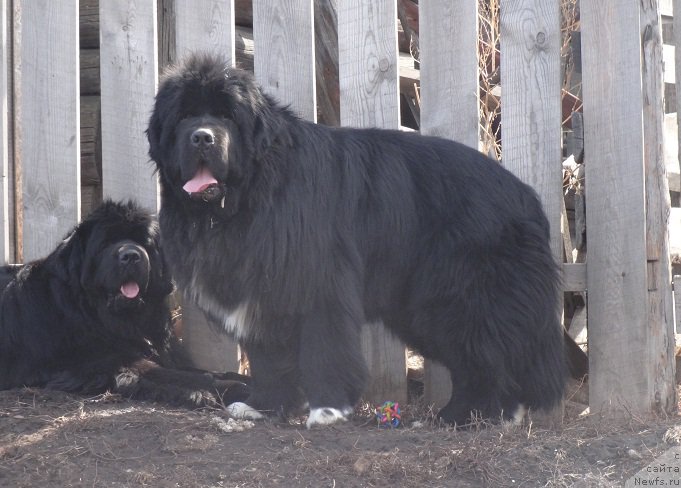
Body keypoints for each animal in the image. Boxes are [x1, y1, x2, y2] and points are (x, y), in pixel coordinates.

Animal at [0, 199, 250, 408]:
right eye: (105, 243)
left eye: (143, 242)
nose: (131, 256)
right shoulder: (111, 360)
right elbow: (180, 375)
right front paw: (226, 389)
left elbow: (202, 370)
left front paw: (240, 378)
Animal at [149, 53, 568, 428]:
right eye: (184, 118)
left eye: (226, 118)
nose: (202, 138)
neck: (252, 195)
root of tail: (526, 196)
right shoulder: (263, 295)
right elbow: (269, 359)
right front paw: (263, 407)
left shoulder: (318, 286)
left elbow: (325, 349)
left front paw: (327, 410)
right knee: (478, 360)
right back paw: (464, 415)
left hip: (458, 300)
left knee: (489, 356)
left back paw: (473, 416)